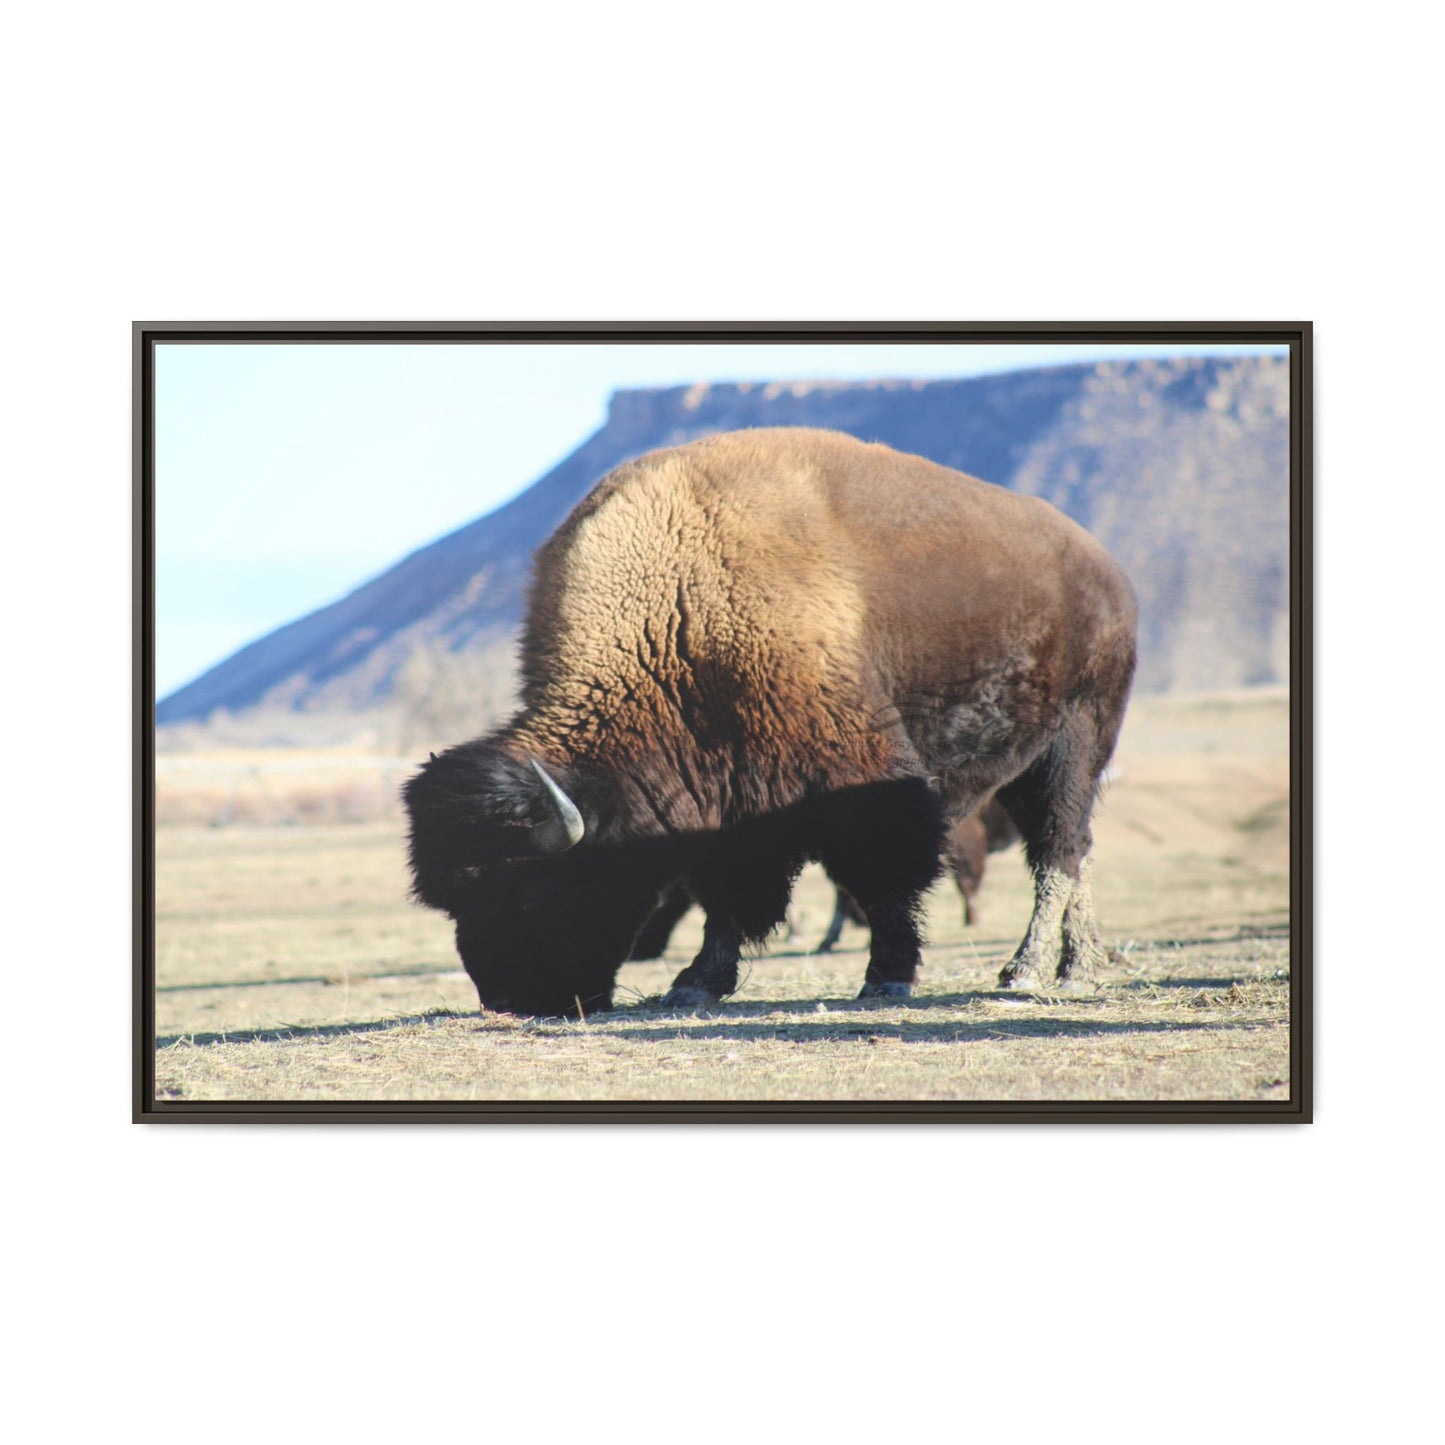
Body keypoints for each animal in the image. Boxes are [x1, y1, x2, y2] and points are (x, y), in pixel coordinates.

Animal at [405, 427, 1137, 1016]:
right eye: (454, 901)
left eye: (528, 890)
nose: (510, 999)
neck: (678, 612)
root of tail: (1105, 569)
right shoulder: (727, 801)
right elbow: (727, 895)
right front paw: (695, 983)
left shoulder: (859, 780)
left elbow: (883, 878)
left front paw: (887, 977)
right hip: (1026, 762)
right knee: (1071, 850)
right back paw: (1078, 963)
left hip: (1077, 740)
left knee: (1058, 849)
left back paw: (1031, 970)